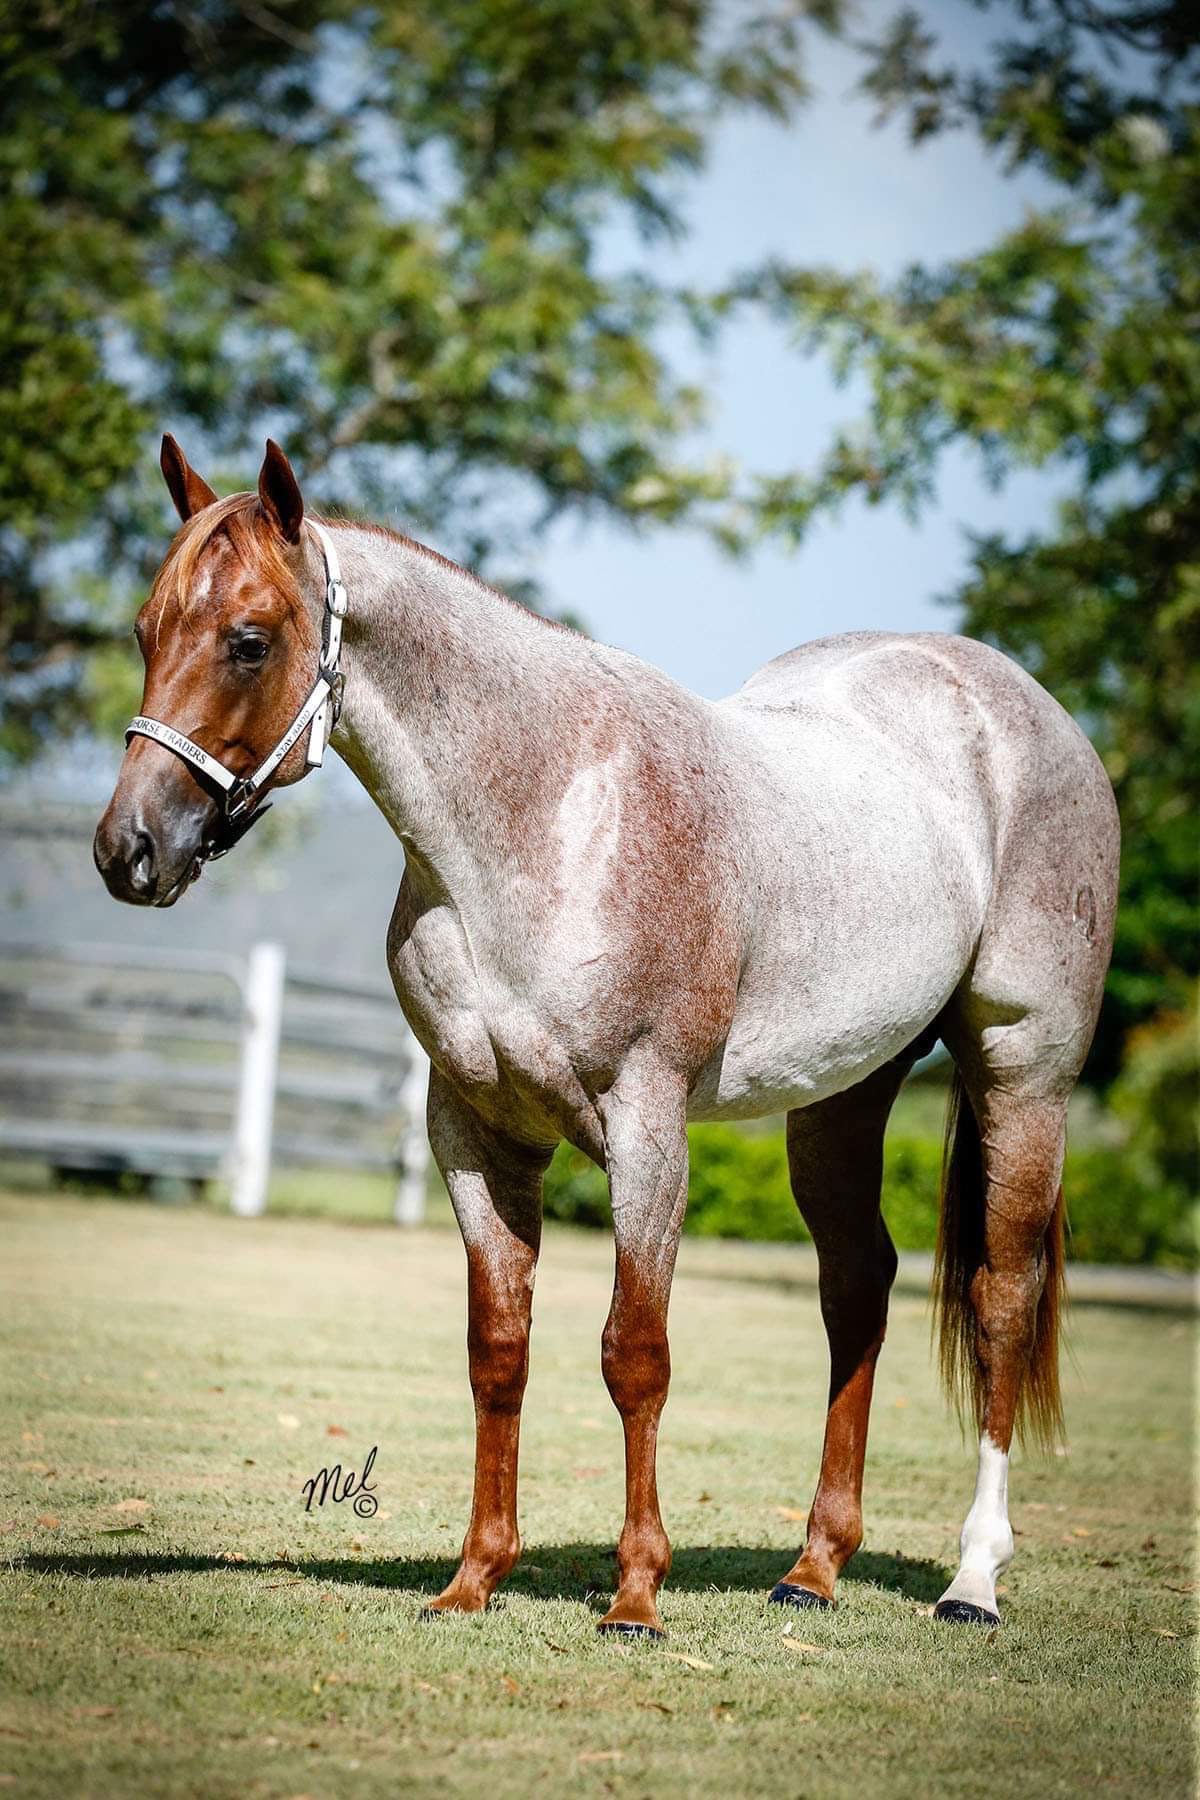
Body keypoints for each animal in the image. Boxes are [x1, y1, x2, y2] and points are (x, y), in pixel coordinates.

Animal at [94, 436, 1119, 1638]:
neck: (548, 818)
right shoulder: (476, 1131)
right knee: (857, 1284)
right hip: (842, 1094)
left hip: (1024, 1073)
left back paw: (973, 1580)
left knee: (1001, 1299)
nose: (129, 850)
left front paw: (635, 1595)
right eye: (145, 630)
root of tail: (1026, 711)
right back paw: (814, 1567)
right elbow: (499, 1352)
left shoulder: (646, 1126)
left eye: (249, 641)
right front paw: (475, 1578)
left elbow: (635, 1355)